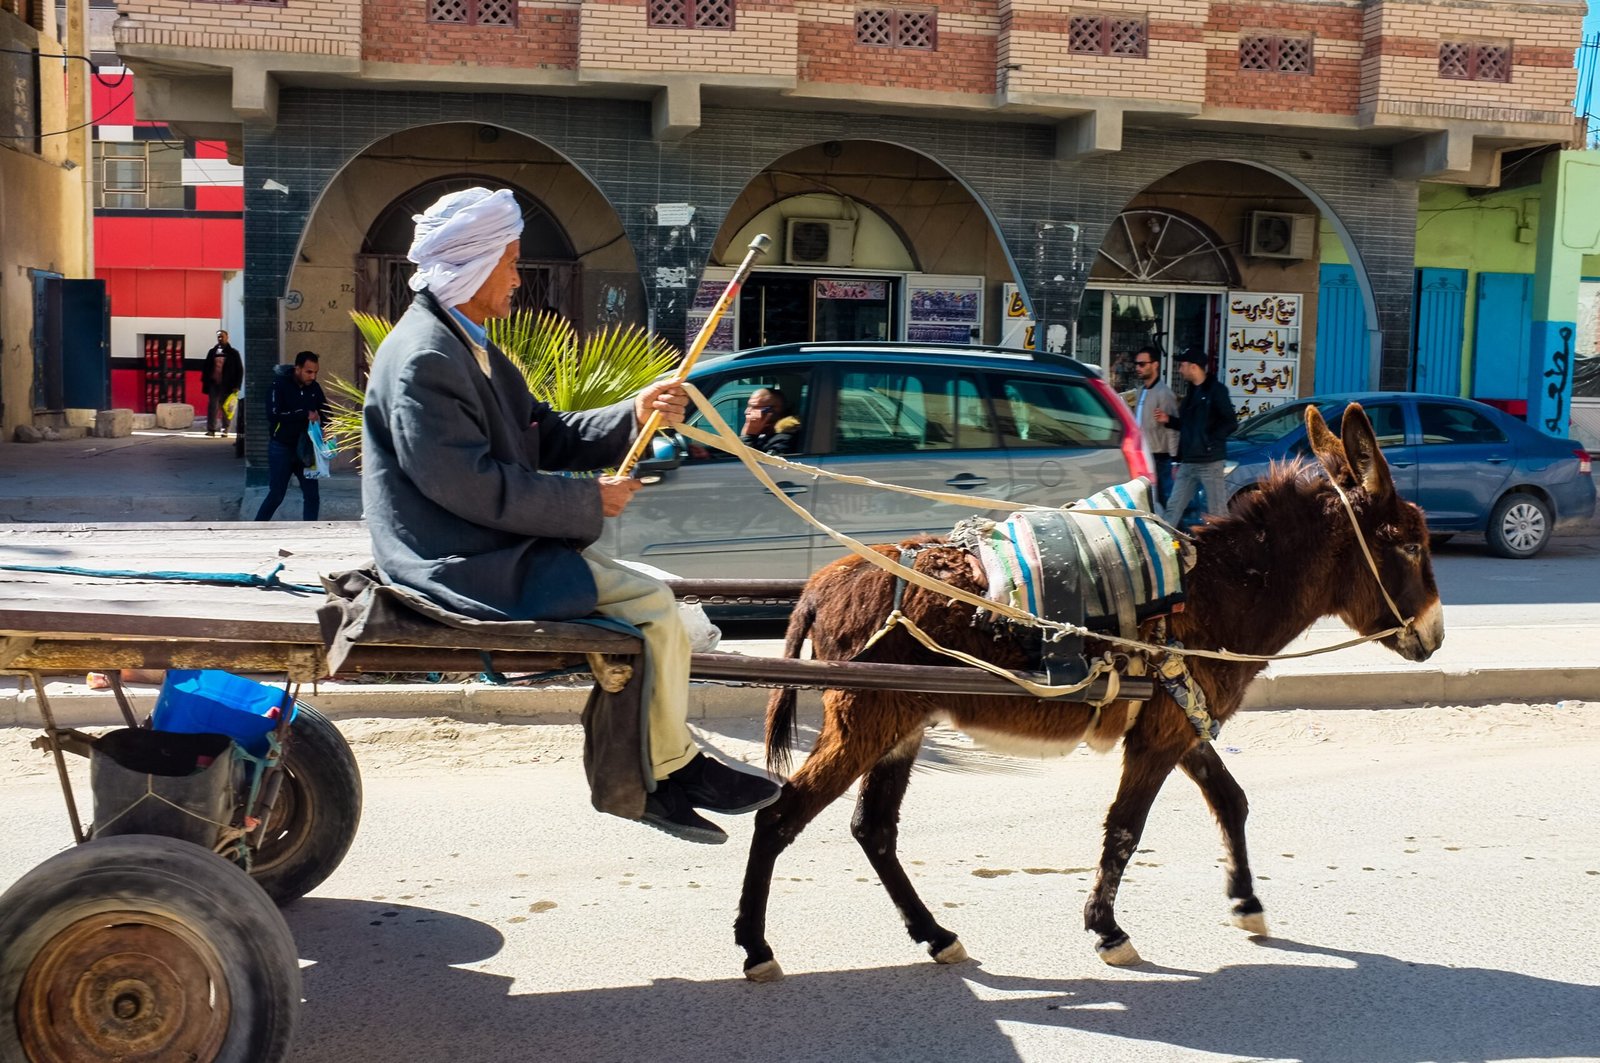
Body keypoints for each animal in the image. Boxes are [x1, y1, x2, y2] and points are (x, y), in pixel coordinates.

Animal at [734, 403, 1444, 982]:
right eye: (1410, 545)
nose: (1435, 635)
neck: (1218, 594)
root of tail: (821, 584)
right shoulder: (1159, 739)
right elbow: (1126, 828)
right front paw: (1107, 932)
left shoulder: (1179, 724)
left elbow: (1231, 801)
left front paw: (1246, 903)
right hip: (864, 722)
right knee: (779, 816)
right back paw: (756, 948)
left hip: (900, 727)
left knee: (874, 829)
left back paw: (936, 937)